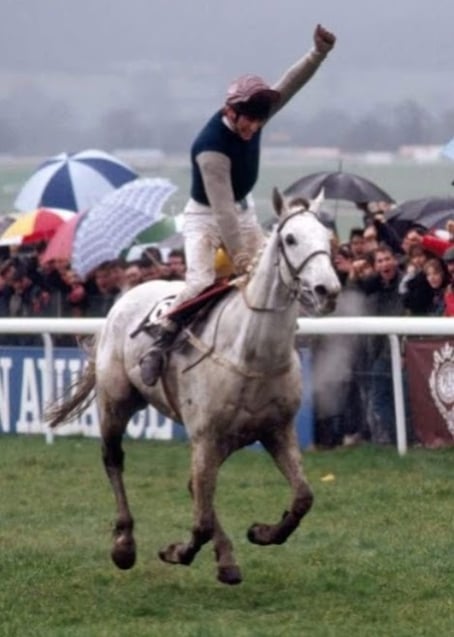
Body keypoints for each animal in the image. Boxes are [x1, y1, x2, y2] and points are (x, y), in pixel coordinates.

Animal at [47, 186, 340, 584]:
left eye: (328, 237)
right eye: (290, 239)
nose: (328, 290)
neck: (252, 354)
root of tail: (125, 296)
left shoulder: (276, 430)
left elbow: (303, 497)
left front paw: (262, 532)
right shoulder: (206, 435)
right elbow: (199, 522)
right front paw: (177, 552)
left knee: (197, 488)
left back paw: (226, 558)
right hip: (116, 401)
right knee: (114, 459)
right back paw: (124, 544)